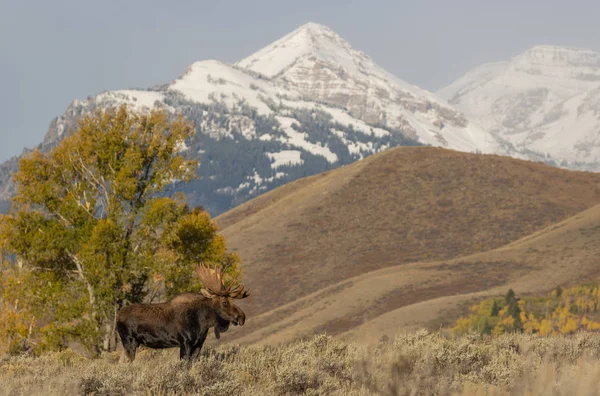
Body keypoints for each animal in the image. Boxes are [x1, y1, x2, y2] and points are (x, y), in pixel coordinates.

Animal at [116, 262, 250, 362]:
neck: (203, 322)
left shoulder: (198, 344)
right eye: (225, 302)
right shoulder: (185, 342)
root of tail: (117, 317)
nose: (242, 317)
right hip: (129, 341)